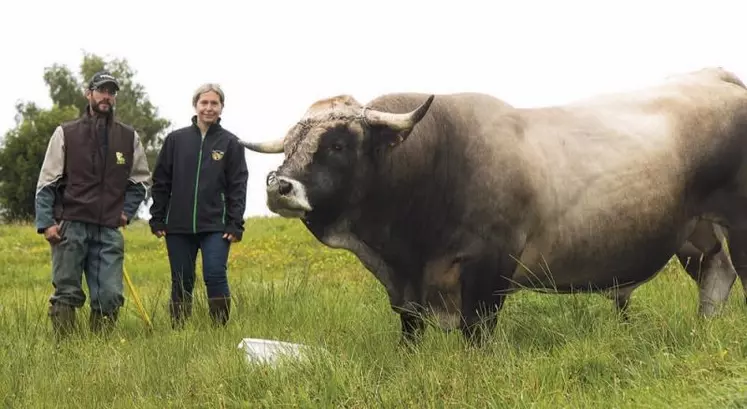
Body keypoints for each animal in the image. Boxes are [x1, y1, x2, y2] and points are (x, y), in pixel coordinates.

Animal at [240, 67, 747, 344]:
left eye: (338, 144)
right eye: (291, 143)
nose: (278, 187)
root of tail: (714, 76)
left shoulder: (488, 269)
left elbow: (476, 334)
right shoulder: (406, 289)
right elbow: (409, 329)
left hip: (737, 225)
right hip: (695, 234)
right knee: (715, 277)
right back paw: (703, 331)